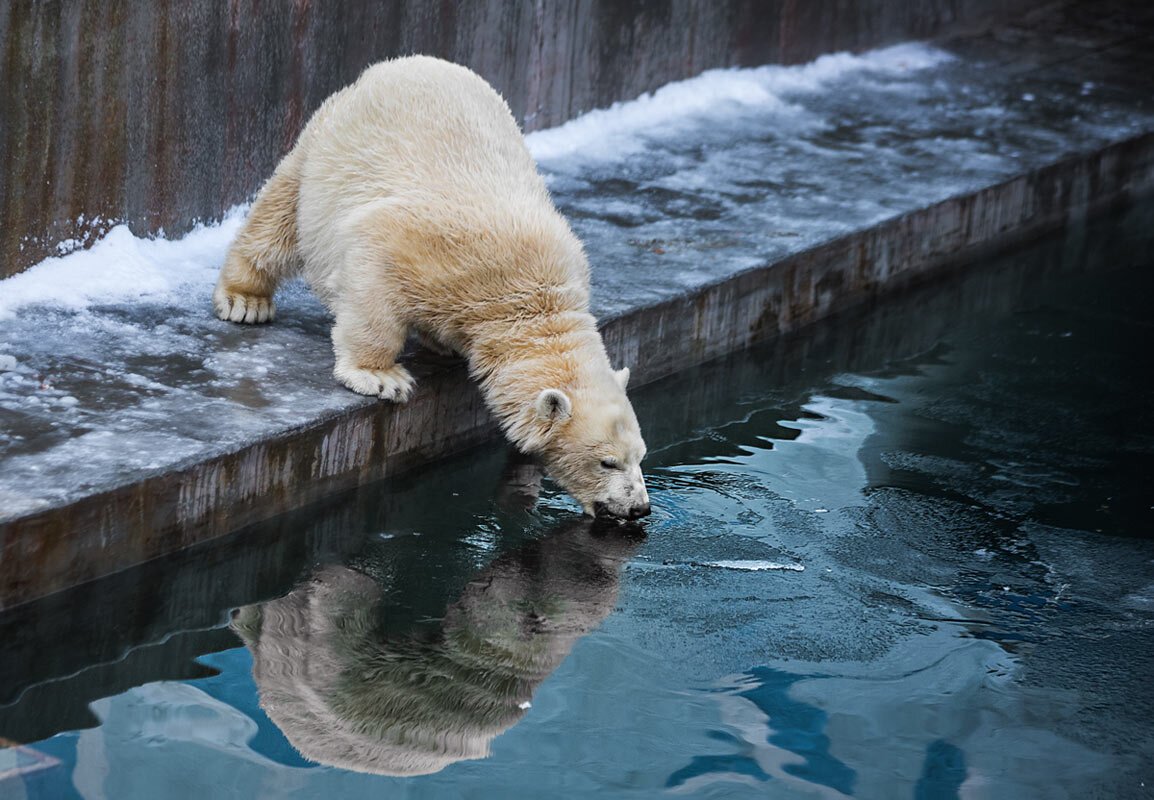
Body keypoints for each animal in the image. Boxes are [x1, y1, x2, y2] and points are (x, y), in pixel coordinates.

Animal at [214, 56, 650, 517]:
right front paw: (381, 377)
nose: (640, 508)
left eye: (640, 456)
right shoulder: (429, 247)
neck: (529, 296)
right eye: (607, 461)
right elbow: (374, 275)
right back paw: (245, 299)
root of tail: (401, 64)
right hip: (332, 145)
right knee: (280, 213)